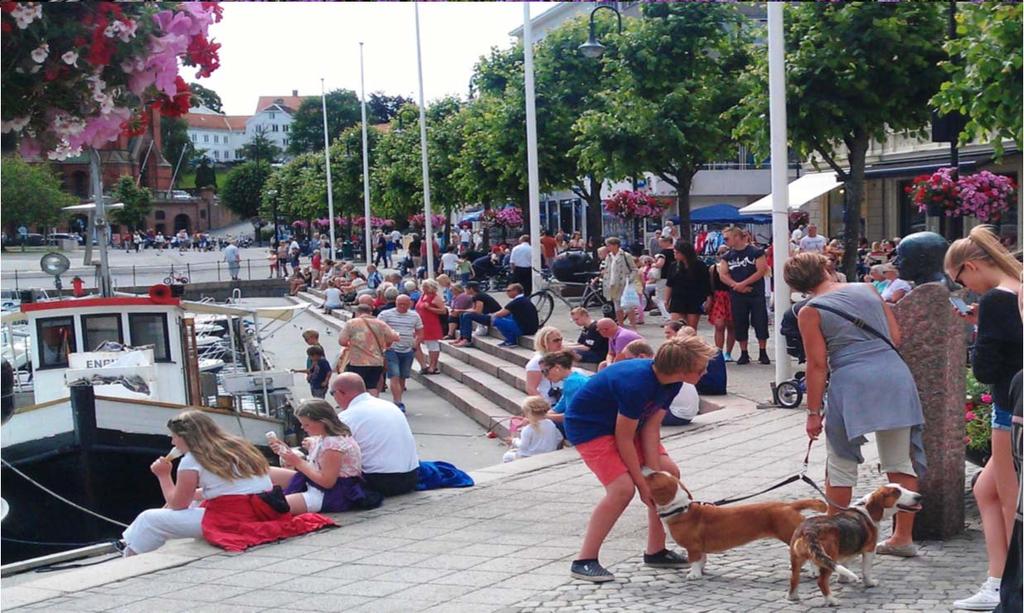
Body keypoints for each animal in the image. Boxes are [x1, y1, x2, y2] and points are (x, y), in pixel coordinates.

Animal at [643, 470, 827, 581]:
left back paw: (814, 572)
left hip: (789, 534)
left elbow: (694, 561)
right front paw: (700, 571)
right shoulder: (700, 548)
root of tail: (789, 505)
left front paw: (694, 575)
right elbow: (702, 559)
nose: (643, 466)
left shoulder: (693, 547)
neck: (681, 509)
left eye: (653, 475)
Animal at [786, 485, 925, 609]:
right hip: (829, 558)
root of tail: (808, 530)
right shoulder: (870, 550)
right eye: (896, 492)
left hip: (797, 559)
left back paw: (793, 597)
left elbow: (845, 567)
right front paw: (870, 583)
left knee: (794, 578)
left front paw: (843, 580)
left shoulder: (845, 553)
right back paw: (831, 600)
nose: (919, 497)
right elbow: (866, 571)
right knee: (821, 581)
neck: (866, 509)